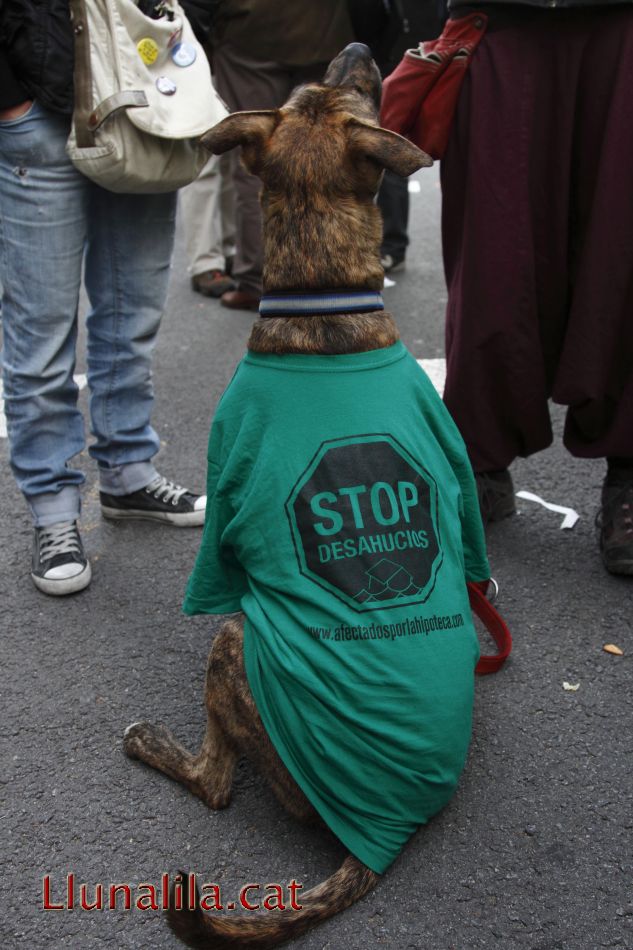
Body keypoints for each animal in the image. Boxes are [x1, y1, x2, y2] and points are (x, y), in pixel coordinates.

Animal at [123, 42, 430, 950]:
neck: (324, 293)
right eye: (309, 90)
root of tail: (380, 837)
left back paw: (154, 744)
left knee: (218, 784)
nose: (360, 45)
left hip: (231, 640)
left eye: (355, 93)